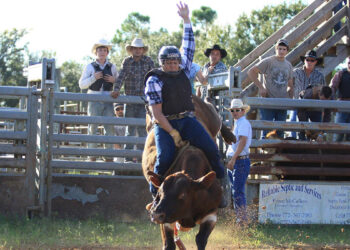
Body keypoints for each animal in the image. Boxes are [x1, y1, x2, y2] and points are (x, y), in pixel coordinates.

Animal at [141, 95, 234, 250]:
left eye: (182, 195)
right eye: (160, 193)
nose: (156, 215)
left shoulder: (211, 214)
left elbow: (201, 239)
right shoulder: (166, 220)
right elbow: (169, 244)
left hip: (212, 118)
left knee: (216, 114)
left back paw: (230, 135)